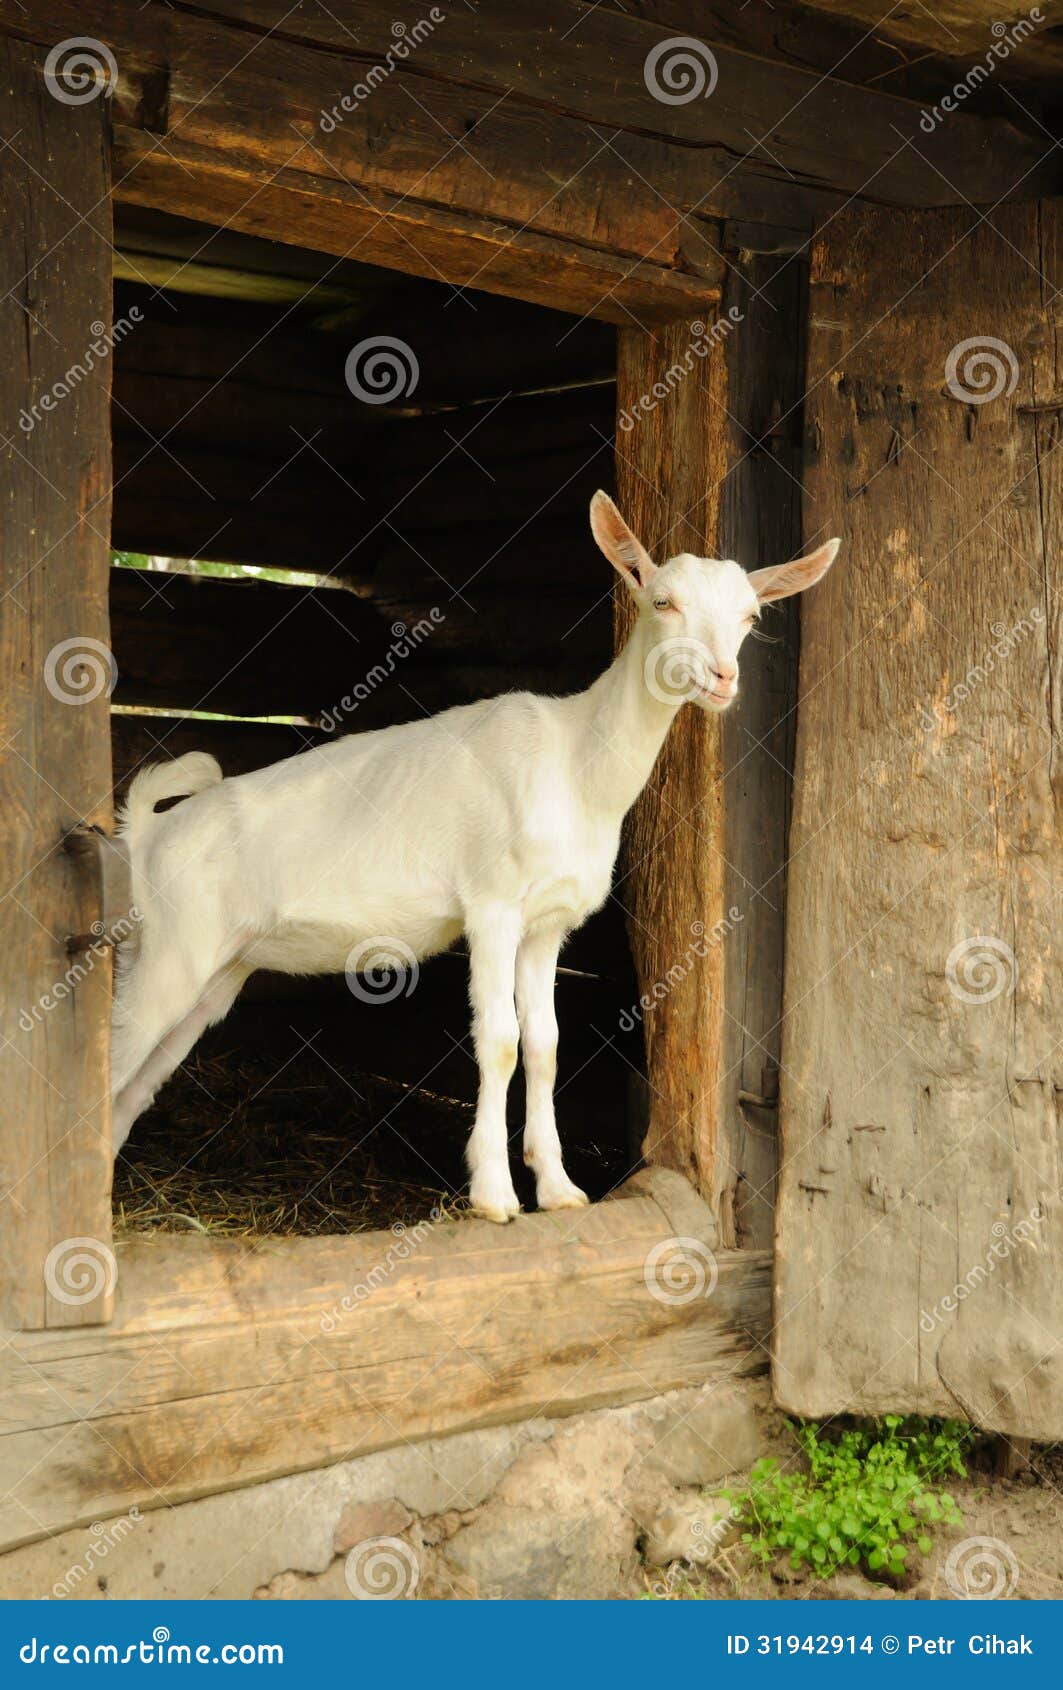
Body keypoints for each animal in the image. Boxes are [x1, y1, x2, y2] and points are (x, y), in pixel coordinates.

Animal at [109, 493, 838, 1223]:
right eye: (663, 601)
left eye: (751, 615)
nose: (722, 677)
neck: (577, 765)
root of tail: (144, 837)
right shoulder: (491, 906)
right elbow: (501, 1041)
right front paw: (493, 1194)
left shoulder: (547, 925)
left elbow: (544, 1046)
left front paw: (559, 1188)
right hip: (170, 951)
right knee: (109, 1056)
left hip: (216, 972)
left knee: (137, 1081)